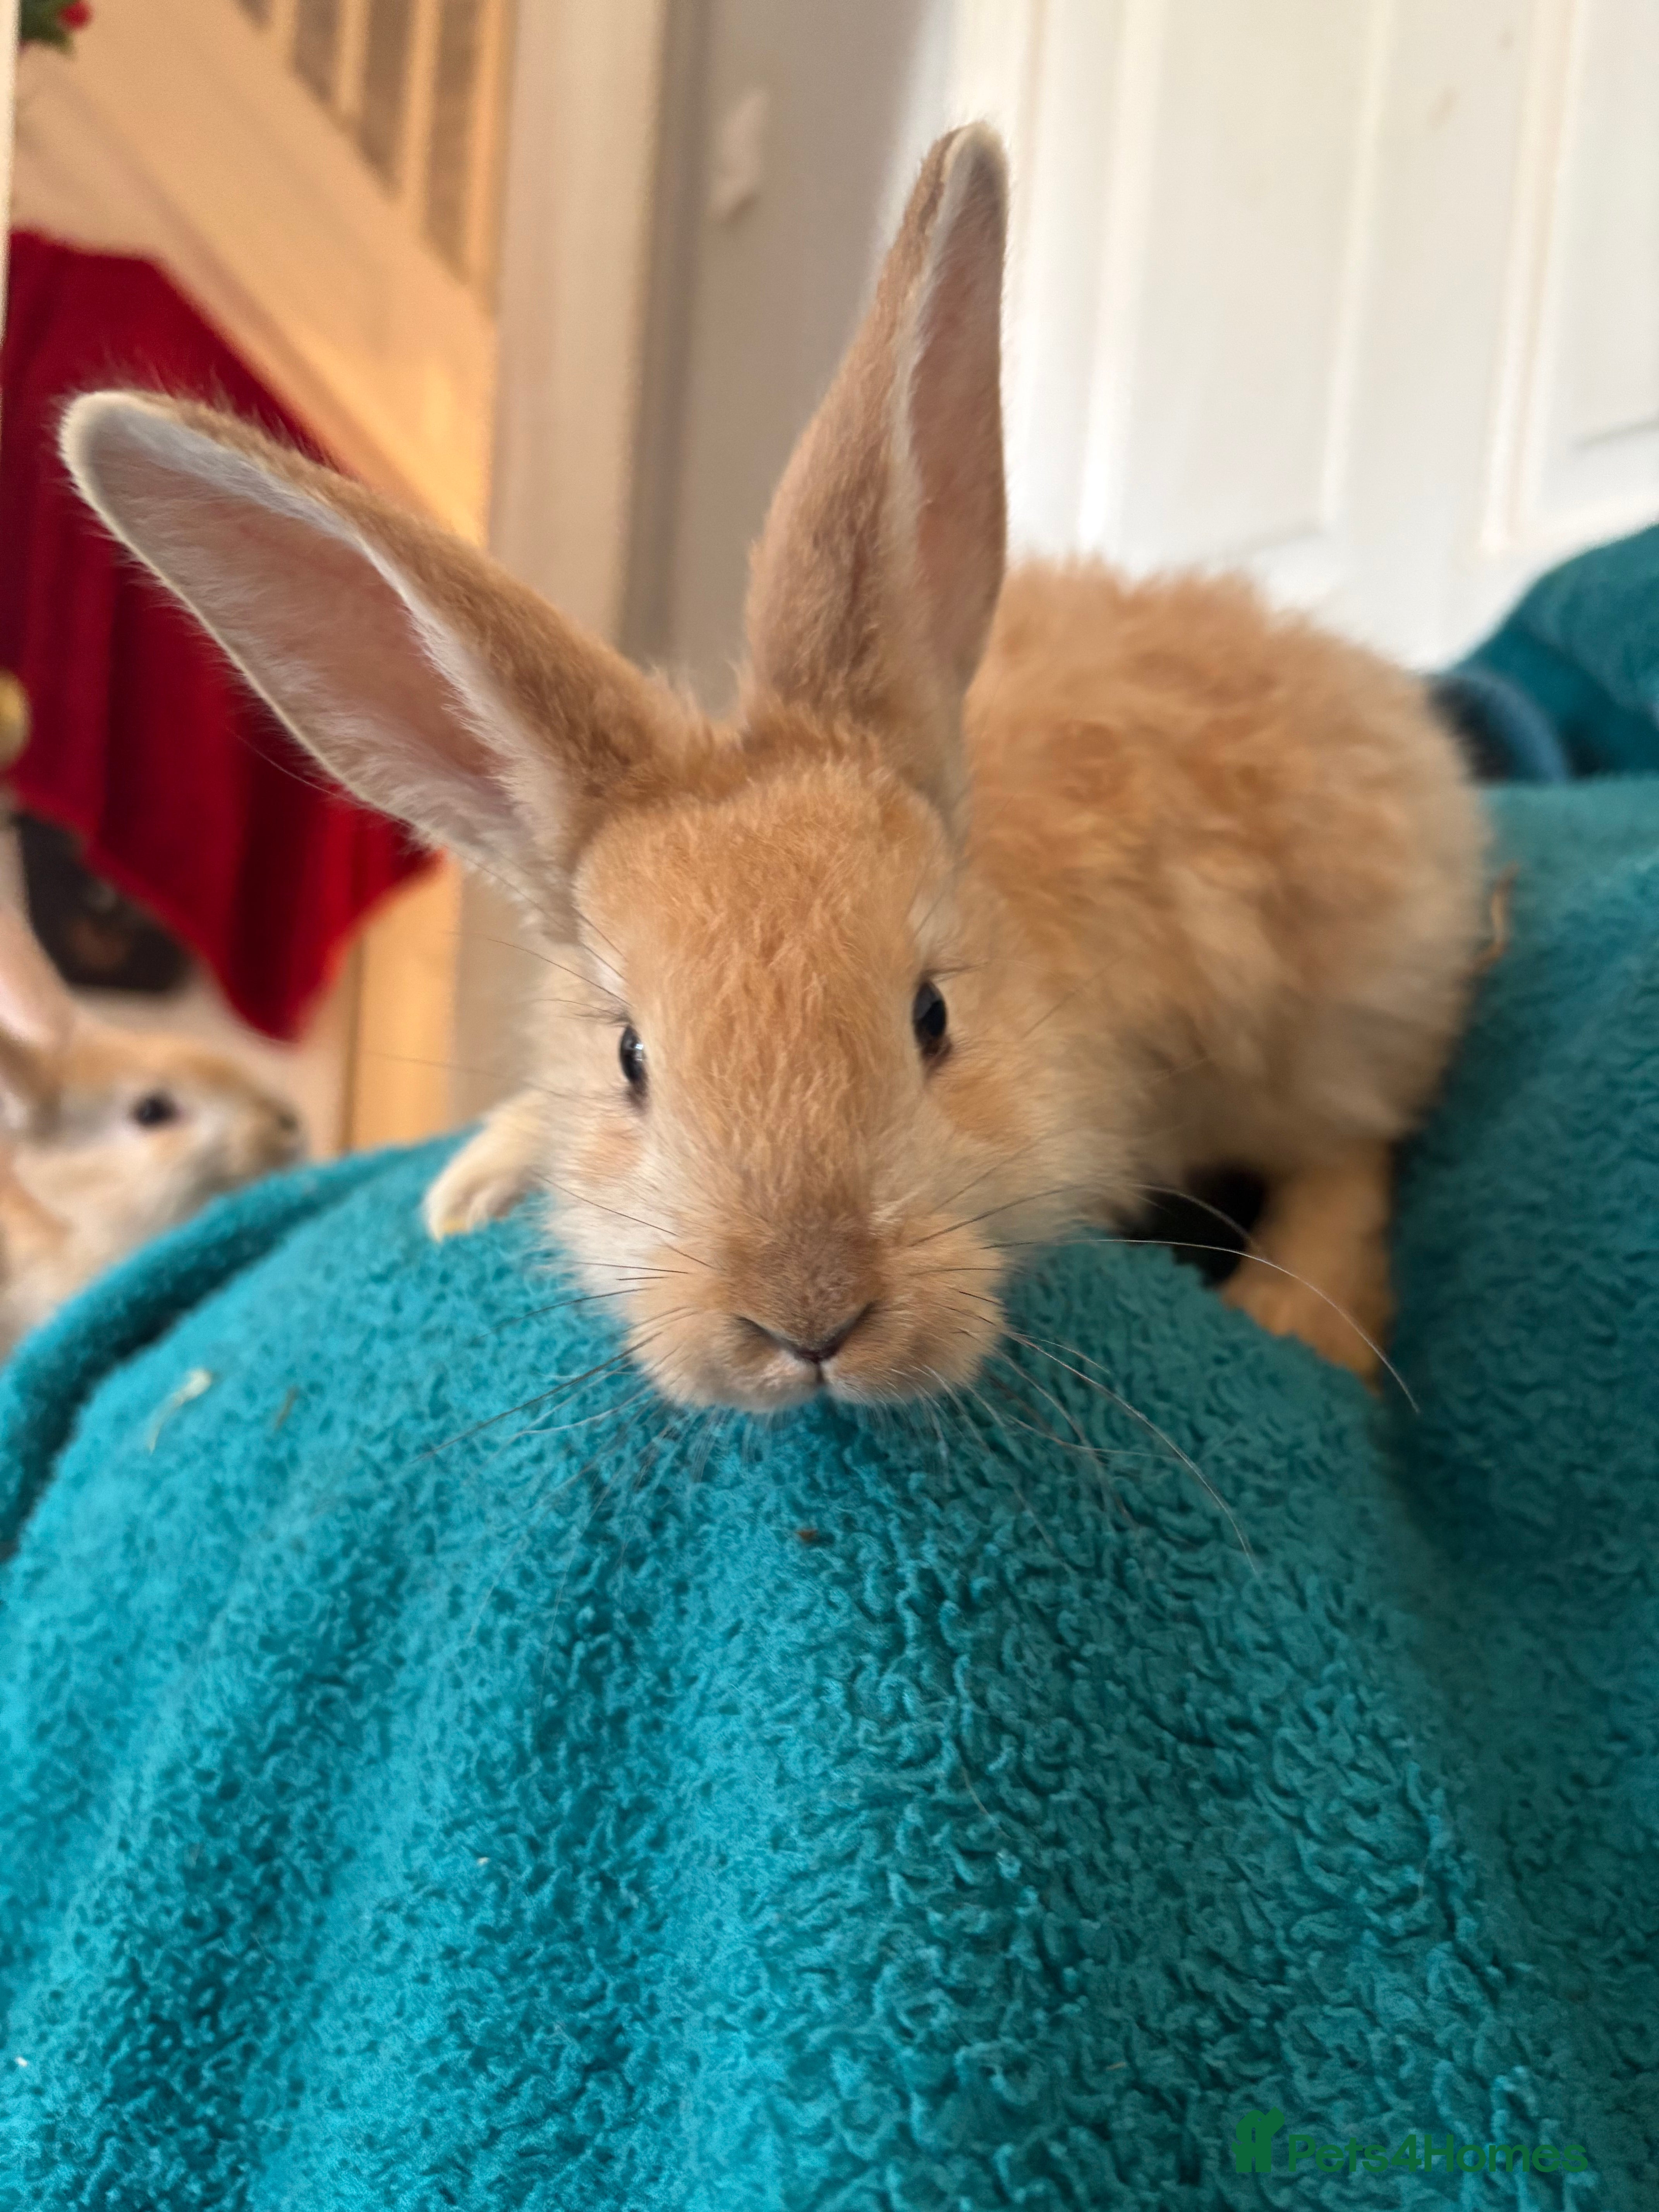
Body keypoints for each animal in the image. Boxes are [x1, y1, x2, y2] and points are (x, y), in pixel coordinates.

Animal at [57, 123, 1487, 1411]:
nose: (809, 1321)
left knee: (1354, 1144)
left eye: (932, 1018)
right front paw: (478, 1183)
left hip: (1347, 988)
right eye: (631, 1058)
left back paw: (1306, 1322)